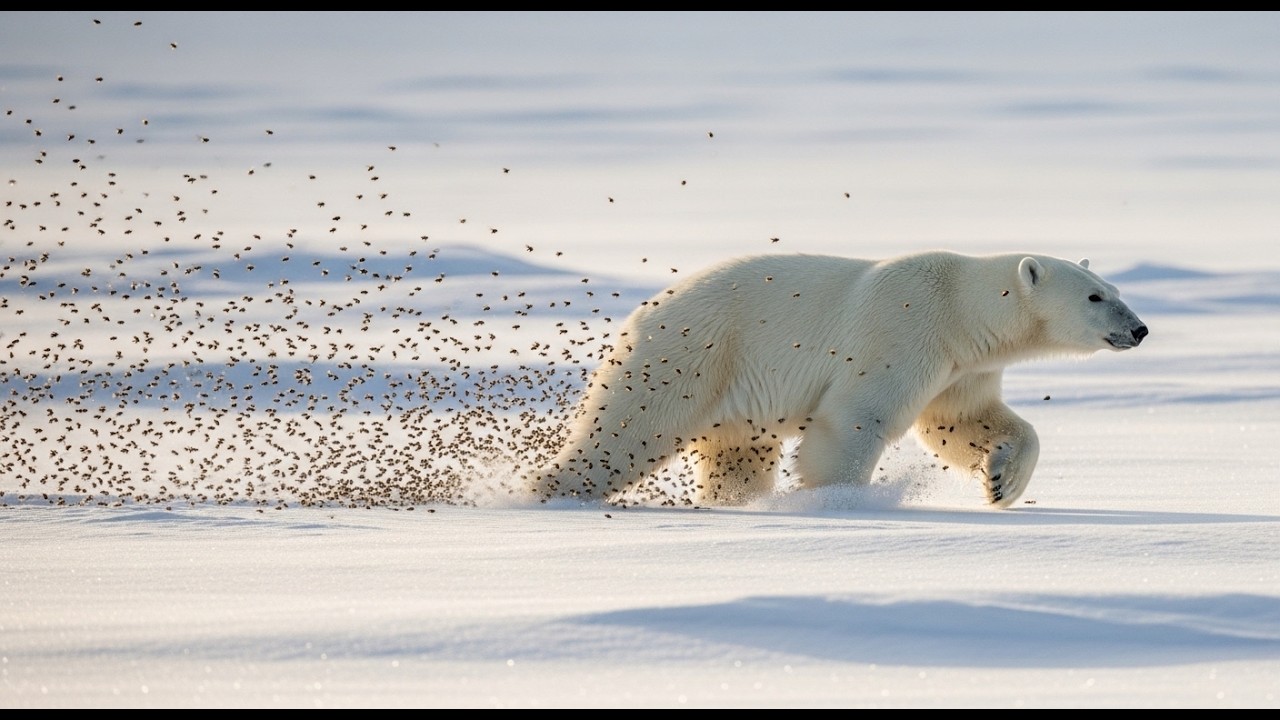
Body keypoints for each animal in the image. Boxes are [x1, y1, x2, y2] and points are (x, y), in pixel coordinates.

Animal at [528, 250, 1148, 508]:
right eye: (1095, 297)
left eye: (1115, 290)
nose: (1139, 329)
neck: (959, 305)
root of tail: (641, 314)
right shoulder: (904, 328)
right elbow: (856, 417)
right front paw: (838, 500)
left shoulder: (960, 364)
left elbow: (961, 420)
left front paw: (1001, 482)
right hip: (693, 354)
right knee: (630, 429)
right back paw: (548, 491)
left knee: (736, 455)